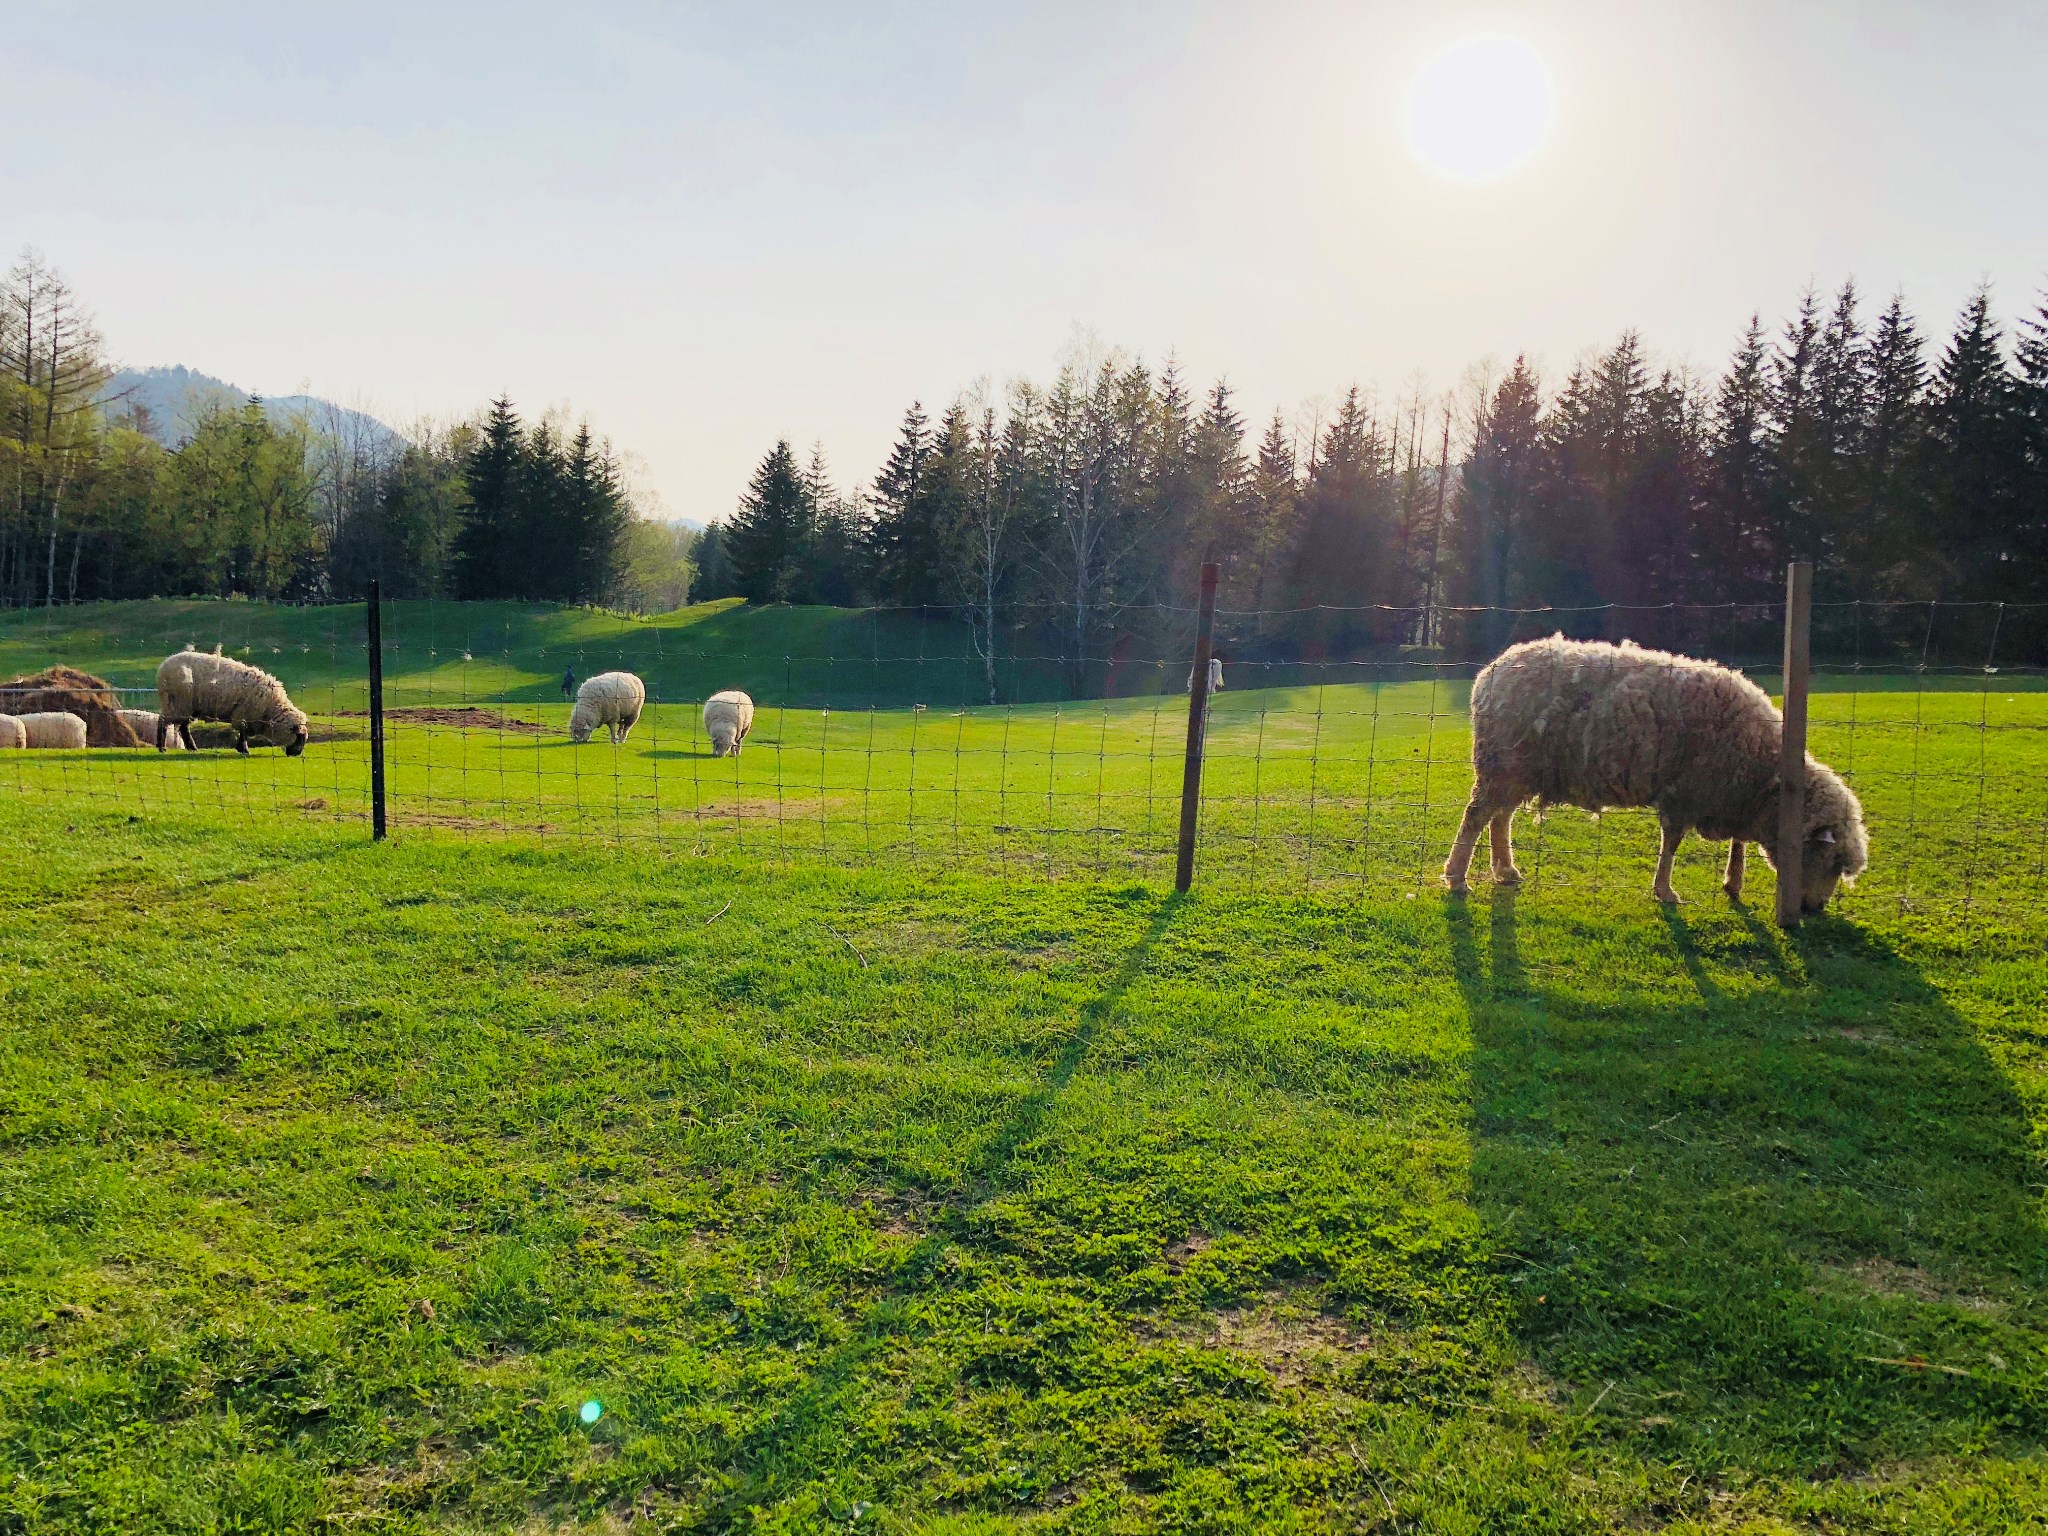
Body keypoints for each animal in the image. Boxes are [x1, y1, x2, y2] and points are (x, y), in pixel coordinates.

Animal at [153, 643, 307, 757]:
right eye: (299, 737)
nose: (296, 754)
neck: (271, 708)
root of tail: (163, 666)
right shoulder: (244, 714)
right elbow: (243, 733)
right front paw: (244, 749)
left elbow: (244, 733)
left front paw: (242, 748)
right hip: (177, 702)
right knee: (163, 721)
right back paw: (162, 747)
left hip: (187, 705)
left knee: (183, 727)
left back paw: (192, 747)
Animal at [1449, 634, 1867, 913]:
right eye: (1830, 860)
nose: (1815, 908)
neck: (1767, 778)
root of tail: (1491, 672)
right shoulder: (1686, 791)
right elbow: (1673, 843)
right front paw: (1665, 891)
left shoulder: (1728, 793)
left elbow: (1738, 842)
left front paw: (1733, 881)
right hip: (1501, 763)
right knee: (1476, 817)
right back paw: (1457, 877)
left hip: (1517, 768)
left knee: (1500, 817)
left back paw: (1505, 869)